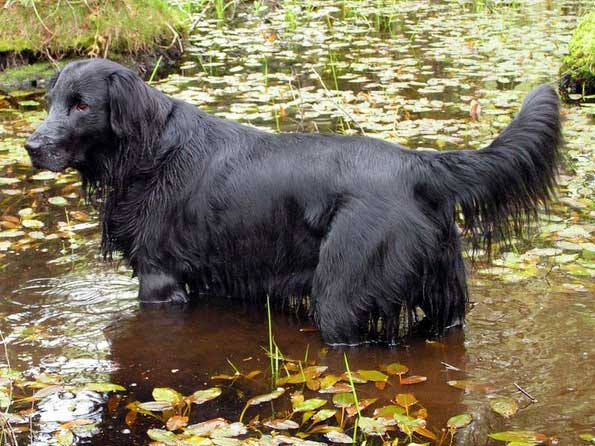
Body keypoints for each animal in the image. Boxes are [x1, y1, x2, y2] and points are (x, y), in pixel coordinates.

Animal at [24, 59, 564, 344]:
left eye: (82, 105)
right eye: (50, 102)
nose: (31, 147)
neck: (149, 151)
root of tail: (420, 164)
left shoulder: (159, 277)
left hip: (343, 295)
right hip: (444, 298)